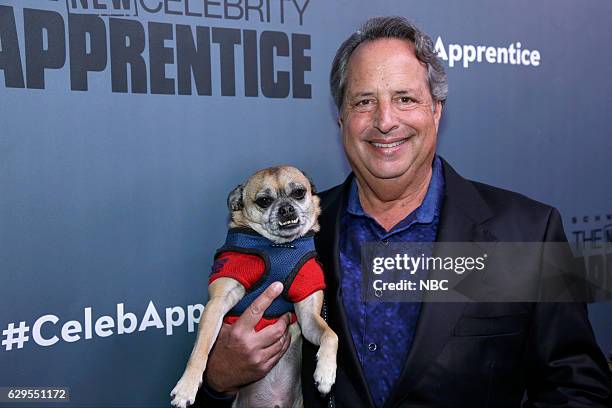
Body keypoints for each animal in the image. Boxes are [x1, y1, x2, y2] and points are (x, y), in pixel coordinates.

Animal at [170, 166, 338, 408]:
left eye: (299, 193)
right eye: (264, 201)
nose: (286, 208)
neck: (280, 247)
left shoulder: (308, 317)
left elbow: (331, 335)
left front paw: (325, 373)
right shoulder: (217, 305)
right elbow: (200, 349)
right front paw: (187, 386)